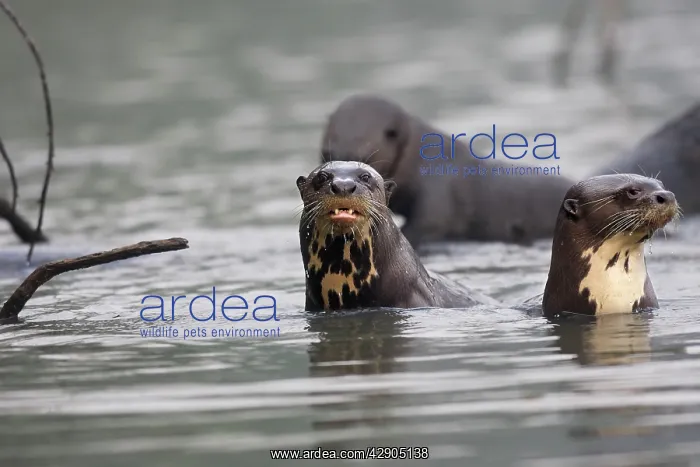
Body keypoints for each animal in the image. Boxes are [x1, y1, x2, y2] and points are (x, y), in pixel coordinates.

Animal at [319, 94, 575, 248]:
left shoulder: (438, 195)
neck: (418, 164)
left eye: (363, 161)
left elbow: (429, 223)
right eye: (326, 154)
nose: (341, 186)